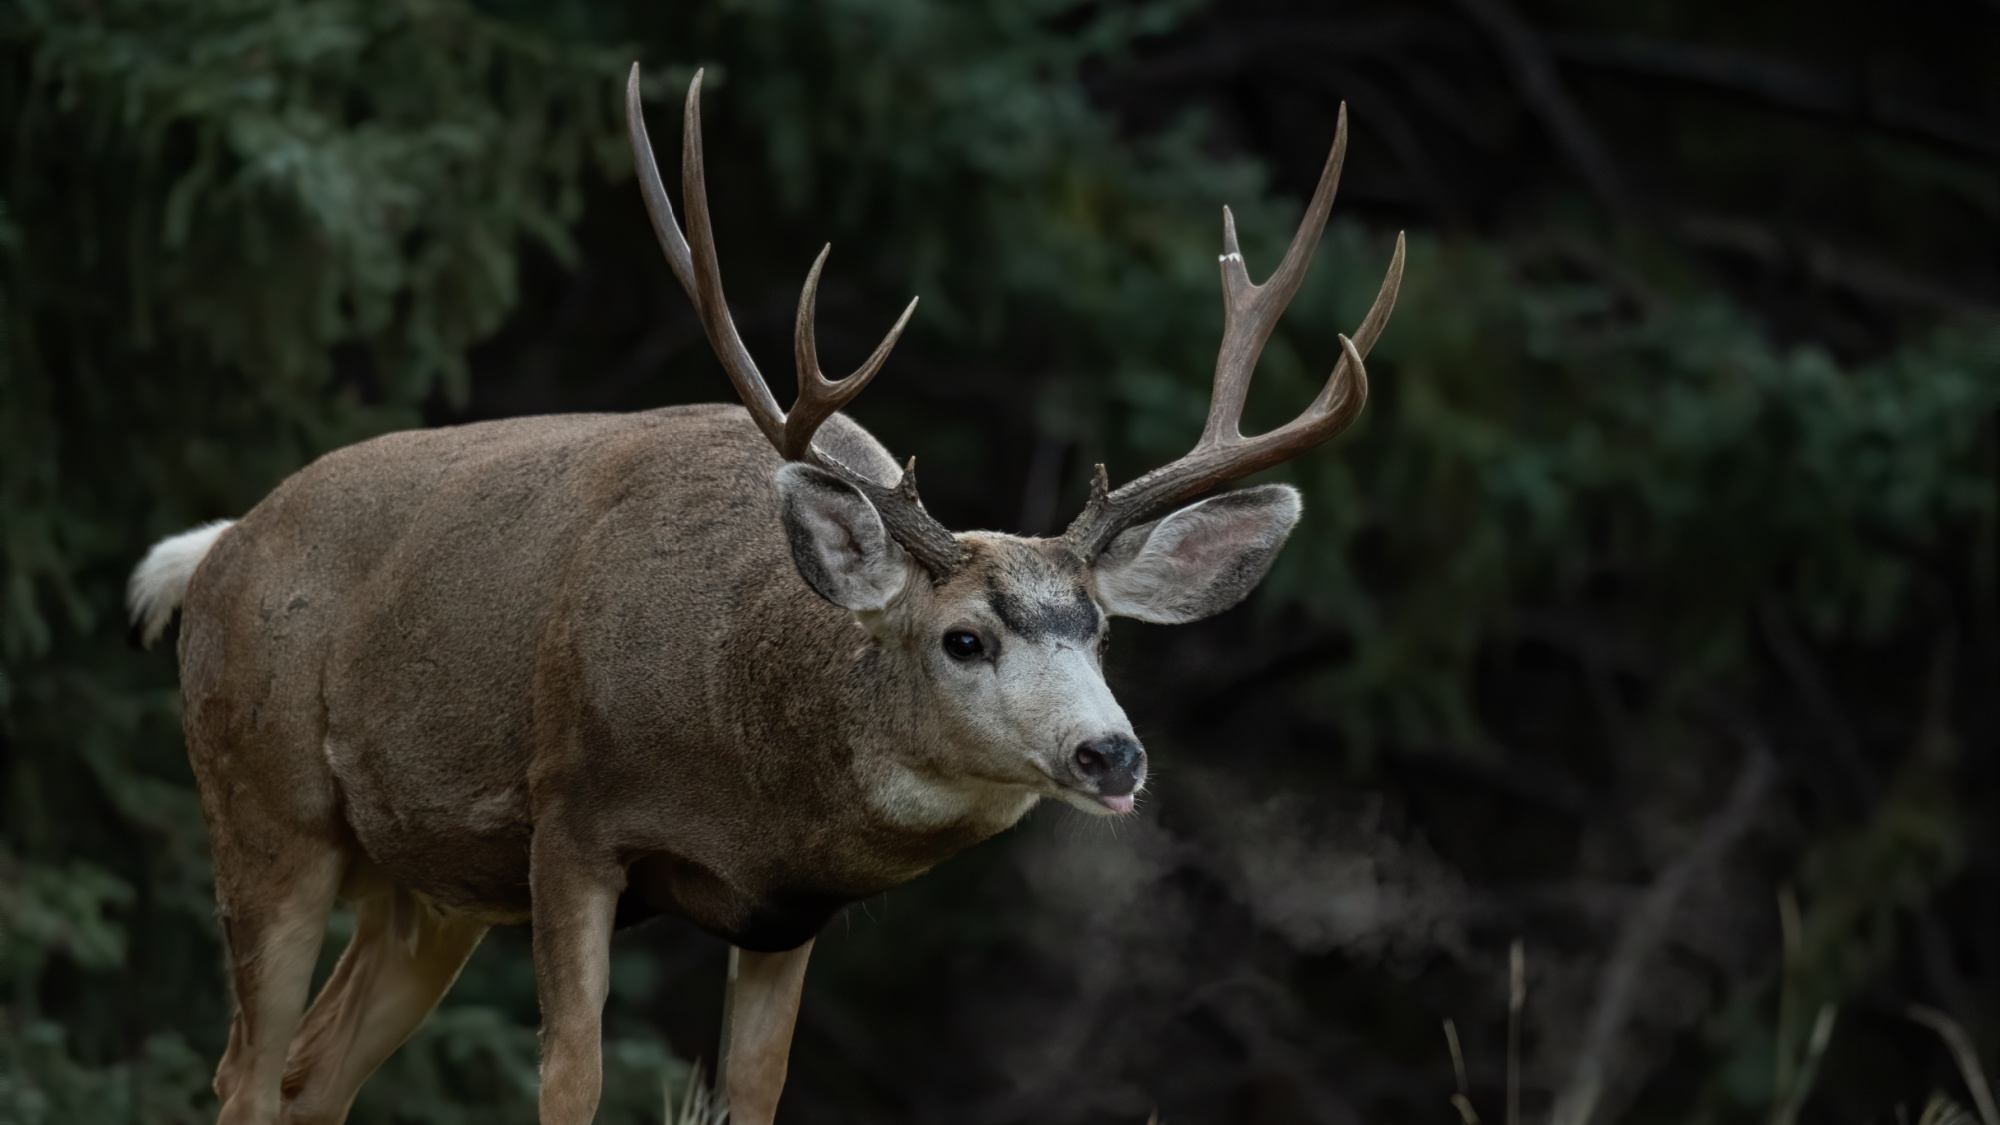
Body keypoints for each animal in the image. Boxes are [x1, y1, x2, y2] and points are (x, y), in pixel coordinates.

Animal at [125, 63, 1402, 1125]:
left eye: (1097, 632)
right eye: (963, 639)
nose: (1110, 753)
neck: (743, 747)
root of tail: (218, 549)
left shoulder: (786, 912)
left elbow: (755, 1095)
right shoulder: (568, 820)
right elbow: (571, 1081)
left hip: (423, 886)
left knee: (311, 1074)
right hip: (265, 803)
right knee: (245, 1072)